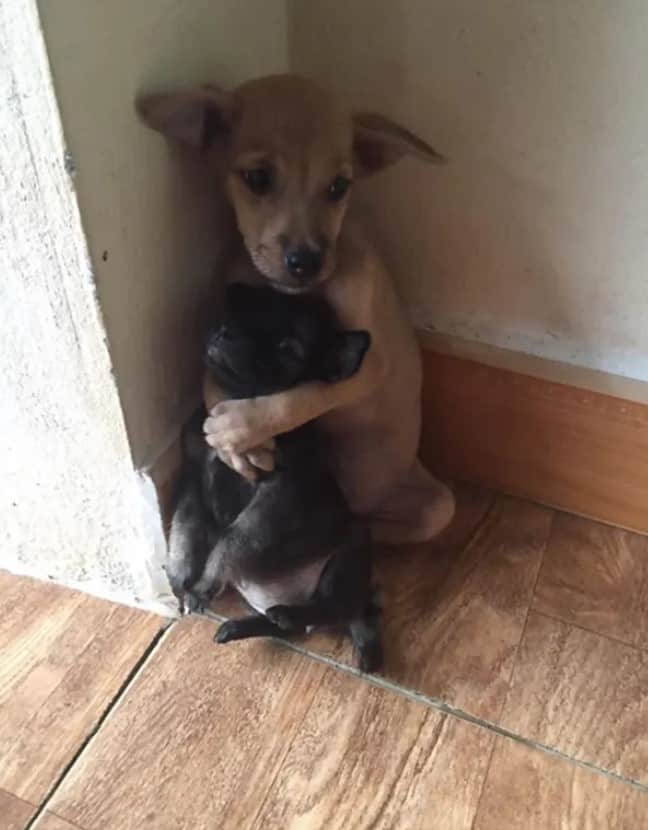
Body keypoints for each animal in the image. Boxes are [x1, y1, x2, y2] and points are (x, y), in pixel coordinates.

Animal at [135, 75, 456, 544]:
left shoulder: (371, 363)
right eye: (257, 178)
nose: (305, 262)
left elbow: (303, 395)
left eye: (339, 187)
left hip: (436, 506)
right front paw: (235, 445)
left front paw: (239, 428)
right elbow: (214, 378)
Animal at [166, 282, 384, 672]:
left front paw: (204, 584)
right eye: (244, 312)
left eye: (288, 348)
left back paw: (290, 614)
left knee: (332, 607)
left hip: (348, 555)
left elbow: (230, 542)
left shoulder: (275, 498)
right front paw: (181, 577)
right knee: (290, 624)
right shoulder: (192, 478)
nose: (224, 330)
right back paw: (239, 627)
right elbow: (184, 529)